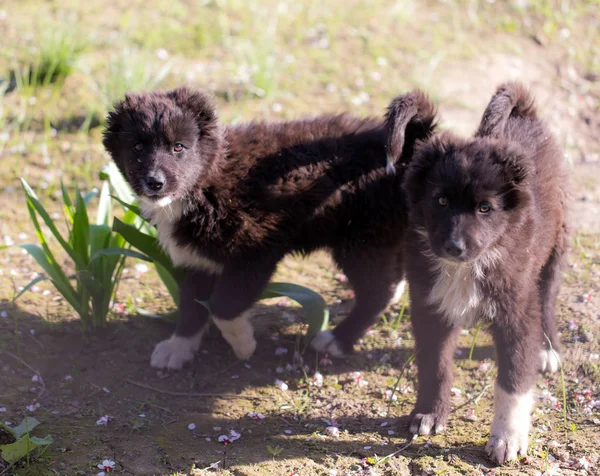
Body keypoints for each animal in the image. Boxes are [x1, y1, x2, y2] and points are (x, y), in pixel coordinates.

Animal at [103, 87, 436, 370]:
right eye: (137, 147)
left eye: (178, 147)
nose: (154, 182)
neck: (205, 184)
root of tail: (409, 147)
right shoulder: (198, 260)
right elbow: (191, 307)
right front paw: (179, 347)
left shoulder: (255, 252)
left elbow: (223, 307)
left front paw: (242, 344)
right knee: (392, 283)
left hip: (361, 241)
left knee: (377, 292)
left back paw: (337, 340)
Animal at [396, 82, 568, 464]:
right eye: (441, 201)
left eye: (485, 208)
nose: (454, 247)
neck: (467, 268)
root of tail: (525, 115)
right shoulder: (430, 305)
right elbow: (434, 365)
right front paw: (429, 413)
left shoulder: (516, 312)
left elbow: (513, 381)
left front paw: (507, 438)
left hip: (556, 245)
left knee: (548, 298)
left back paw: (548, 348)